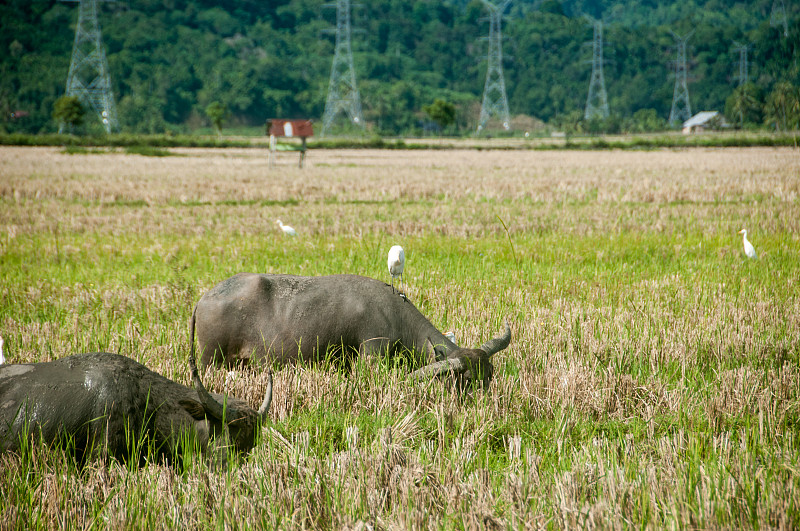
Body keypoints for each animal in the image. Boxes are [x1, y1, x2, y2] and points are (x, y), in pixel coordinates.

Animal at [191, 274, 510, 386]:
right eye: (467, 380)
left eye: (490, 374)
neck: (394, 314)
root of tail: (204, 299)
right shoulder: (372, 354)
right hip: (211, 360)